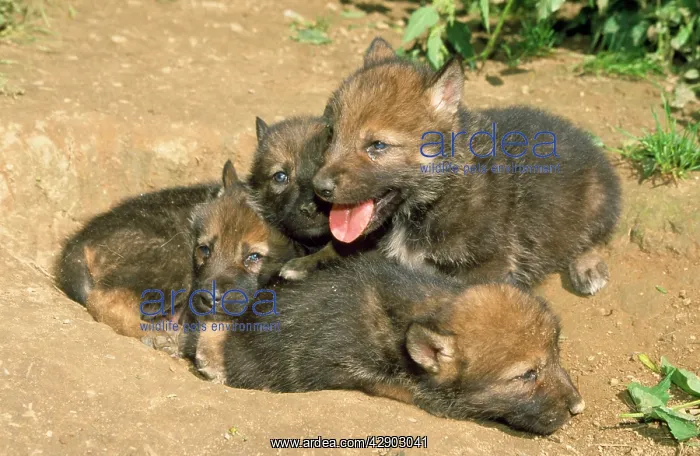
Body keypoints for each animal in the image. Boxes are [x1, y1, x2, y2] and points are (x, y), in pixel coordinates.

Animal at [311, 37, 621, 295]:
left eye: (377, 145)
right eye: (331, 133)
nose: (319, 188)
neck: (438, 198)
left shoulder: (489, 266)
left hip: (597, 202)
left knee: (592, 237)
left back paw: (587, 266)